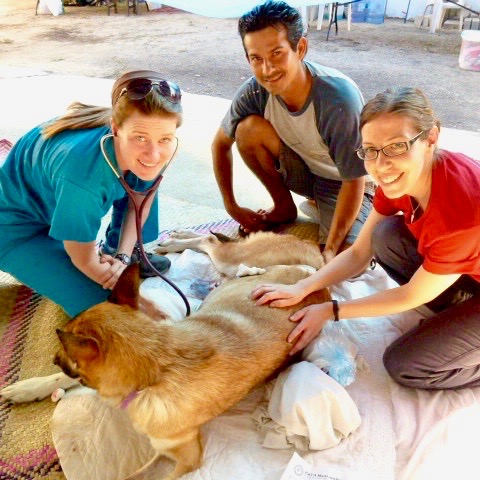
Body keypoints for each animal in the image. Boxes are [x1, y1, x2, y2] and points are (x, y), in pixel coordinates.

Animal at [0, 231, 330, 480]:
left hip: (232, 262)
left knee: (213, 242)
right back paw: (173, 241)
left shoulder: (187, 457)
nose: (54, 358)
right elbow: (60, 379)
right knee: (210, 241)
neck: (157, 366)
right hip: (229, 265)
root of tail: (319, 261)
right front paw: (29, 387)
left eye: (65, 352)